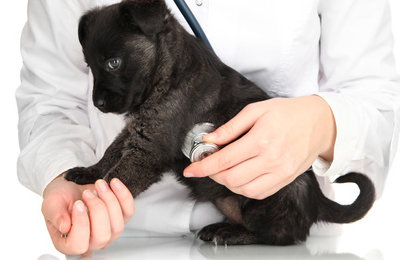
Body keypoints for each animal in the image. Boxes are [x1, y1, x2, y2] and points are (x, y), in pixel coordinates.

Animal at [65, 0, 376, 246]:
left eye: (113, 63)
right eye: (89, 66)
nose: (98, 104)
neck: (168, 73)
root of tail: (317, 201)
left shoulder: (149, 149)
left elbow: (116, 177)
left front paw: (91, 212)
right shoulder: (137, 131)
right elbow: (111, 154)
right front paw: (88, 171)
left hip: (272, 198)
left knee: (281, 236)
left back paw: (230, 234)